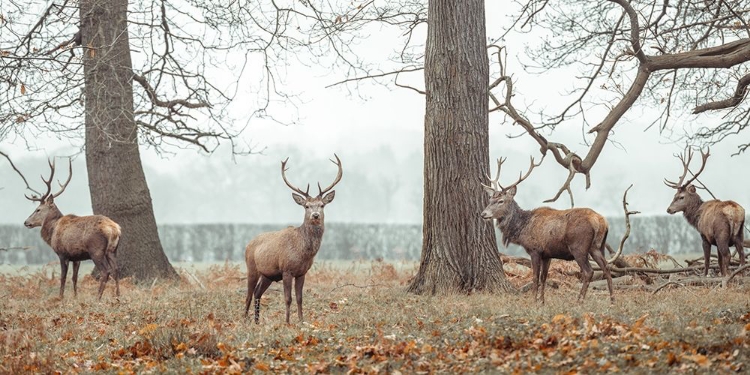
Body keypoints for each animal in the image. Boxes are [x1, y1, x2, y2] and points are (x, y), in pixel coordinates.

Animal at [20, 159, 120, 300]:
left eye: (38, 209)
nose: (26, 222)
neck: (52, 232)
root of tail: (114, 229)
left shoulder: (62, 254)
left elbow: (63, 277)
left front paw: (60, 297)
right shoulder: (76, 257)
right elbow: (74, 277)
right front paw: (75, 296)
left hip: (96, 250)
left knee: (106, 271)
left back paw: (98, 298)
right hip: (112, 250)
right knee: (116, 269)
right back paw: (118, 296)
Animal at [245, 154, 342, 324]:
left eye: (322, 205)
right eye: (307, 206)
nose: (315, 215)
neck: (303, 252)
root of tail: (247, 245)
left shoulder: (302, 272)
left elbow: (299, 298)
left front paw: (301, 321)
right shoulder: (286, 269)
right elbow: (288, 298)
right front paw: (287, 322)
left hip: (267, 274)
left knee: (257, 293)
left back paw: (257, 322)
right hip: (251, 267)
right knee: (248, 295)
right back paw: (244, 320)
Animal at [484, 156, 612, 306]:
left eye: (501, 201)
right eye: (490, 199)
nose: (483, 213)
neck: (522, 229)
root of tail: (601, 221)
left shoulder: (535, 250)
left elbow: (535, 277)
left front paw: (533, 301)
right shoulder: (547, 254)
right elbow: (544, 277)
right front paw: (542, 301)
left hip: (579, 247)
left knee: (589, 271)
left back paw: (579, 301)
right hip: (597, 247)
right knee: (606, 268)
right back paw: (612, 299)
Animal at [668, 148, 748, 278]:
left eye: (681, 197)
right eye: (674, 195)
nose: (668, 209)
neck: (696, 218)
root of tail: (736, 213)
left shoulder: (705, 236)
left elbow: (707, 260)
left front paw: (705, 276)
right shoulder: (715, 240)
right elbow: (719, 261)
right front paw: (721, 274)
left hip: (721, 233)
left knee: (728, 255)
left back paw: (728, 276)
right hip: (739, 234)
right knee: (741, 255)